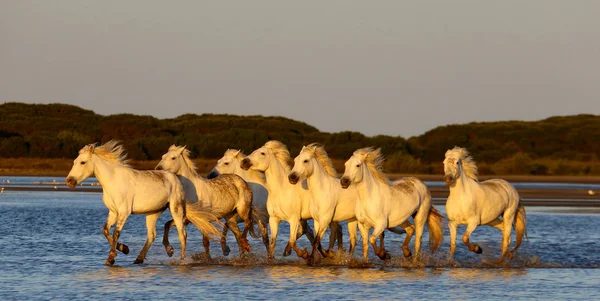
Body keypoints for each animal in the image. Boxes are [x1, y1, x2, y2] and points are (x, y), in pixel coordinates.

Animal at [65, 141, 211, 264]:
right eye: (74, 161)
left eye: (82, 162)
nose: (69, 181)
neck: (113, 182)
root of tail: (176, 178)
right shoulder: (113, 212)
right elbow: (105, 230)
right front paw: (124, 249)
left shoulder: (124, 212)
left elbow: (116, 232)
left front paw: (111, 259)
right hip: (153, 212)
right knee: (152, 235)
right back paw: (140, 259)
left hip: (176, 209)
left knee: (182, 234)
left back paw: (181, 260)